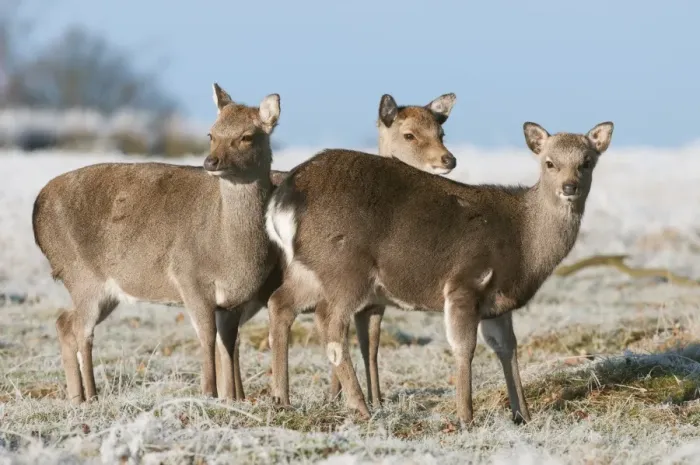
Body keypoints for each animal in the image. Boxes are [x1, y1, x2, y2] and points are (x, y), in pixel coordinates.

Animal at [32, 82, 281, 404]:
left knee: (64, 321)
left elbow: (228, 343)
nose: (210, 161)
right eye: (211, 134)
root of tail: (36, 209)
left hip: (105, 290)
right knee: (81, 330)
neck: (229, 250)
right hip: (80, 274)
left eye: (247, 136)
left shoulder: (234, 300)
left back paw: (78, 397)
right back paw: (93, 395)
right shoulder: (189, 277)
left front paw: (233, 399)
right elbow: (207, 337)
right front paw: (208, 393)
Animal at [228, 92, 459, 403]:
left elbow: (371, 346)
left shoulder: (374, 302)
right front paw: (345, 397)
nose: (448, 159)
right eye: (409, 134)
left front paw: (373, 398)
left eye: (441, 132)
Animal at [264, 121, 614, 425]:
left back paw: (282, 399)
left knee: (280, 302)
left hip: (308, 269)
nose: (569, 187)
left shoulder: (498, 303)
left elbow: (507, 348)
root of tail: (282, 200)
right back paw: (361, 407)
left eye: (586, 162)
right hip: (344, 267)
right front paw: (466, 418)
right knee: (329, 321)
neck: (524, 243)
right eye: (549, 163)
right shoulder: (466, 281)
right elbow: (464, 348)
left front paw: (523, 415)